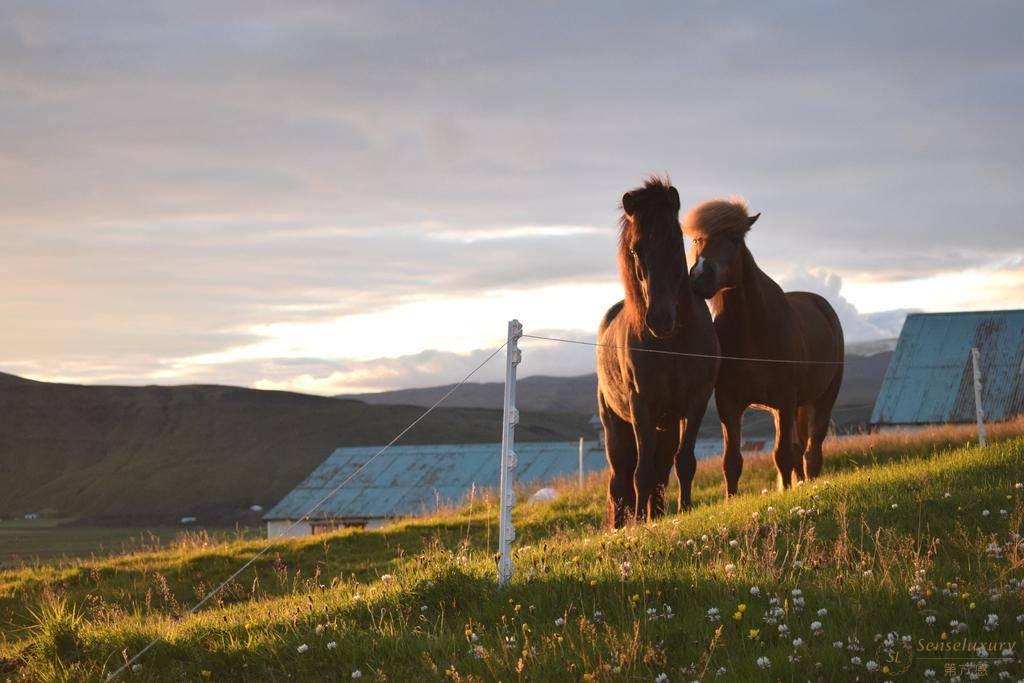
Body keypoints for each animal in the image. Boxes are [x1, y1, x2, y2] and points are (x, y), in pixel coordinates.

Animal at [598, 178, 716, 528]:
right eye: (636, 249)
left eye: (676, 242)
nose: (660, 319)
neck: (673, 345)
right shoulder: (642, 405)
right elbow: (642, 473)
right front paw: (639, 522)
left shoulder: (697, 400)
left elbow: (684, 462)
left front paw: (685, 509)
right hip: (617, 427)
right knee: (620, 481)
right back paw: (624, 523)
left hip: (667, 425)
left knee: (662, 472)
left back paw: (658, 514)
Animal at [684, 200, 843, 493]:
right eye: (698, 239)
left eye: (735, 240)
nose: (700, 278)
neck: (754, 332)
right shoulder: (729, 404)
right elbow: (731, 461)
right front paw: (731, 499)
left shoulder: (784, 401)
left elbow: (782, 455)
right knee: (800, 449)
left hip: (821, 399)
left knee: (812, 451)